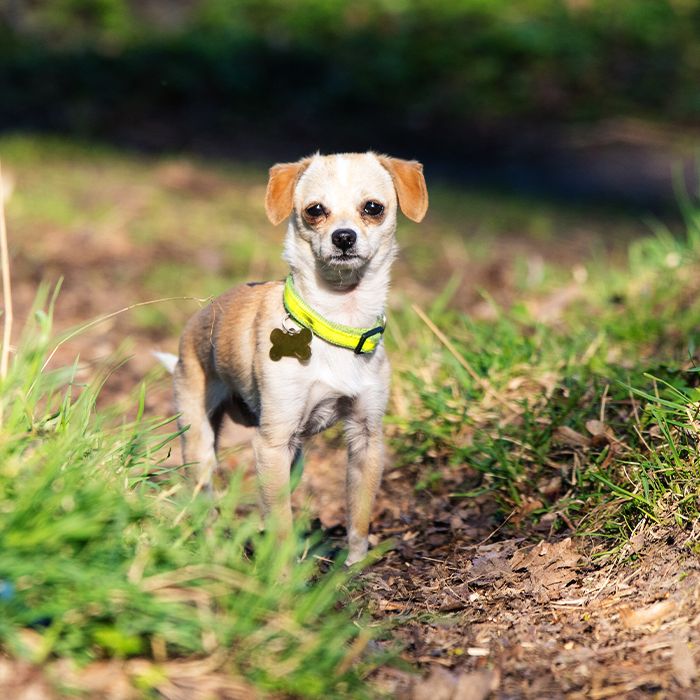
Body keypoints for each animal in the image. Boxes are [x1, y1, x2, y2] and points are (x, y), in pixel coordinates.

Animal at [160, 153, 426, 564]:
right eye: (315, 210)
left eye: (373, 208)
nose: (343, 237)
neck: (336, 321)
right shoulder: (271, 445)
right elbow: (282, 521)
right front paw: (282, 572)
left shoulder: (366, 439)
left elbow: (359, 511)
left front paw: (354, 564)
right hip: (201, 437)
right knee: (206, 489)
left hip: (295, 457)